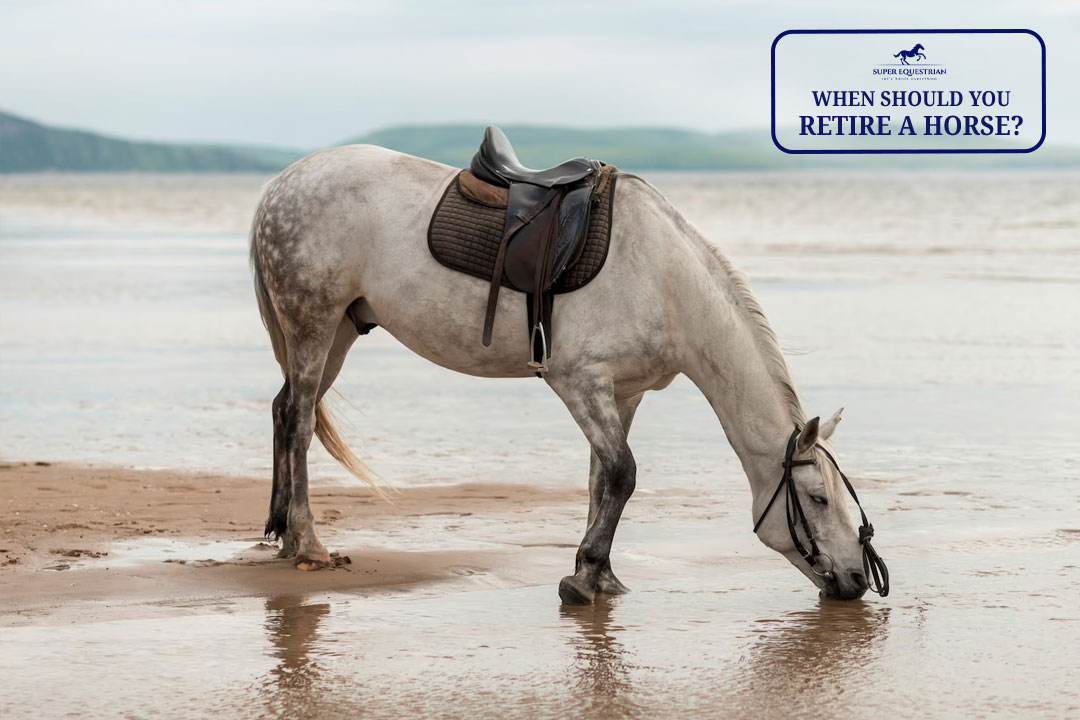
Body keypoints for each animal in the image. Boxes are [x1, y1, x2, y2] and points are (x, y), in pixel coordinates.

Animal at [249, 144, 888, 603]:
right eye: (817, 498)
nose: (859, 581)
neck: (665, 280)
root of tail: (282, 184)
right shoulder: (580, 383)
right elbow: (624, 473)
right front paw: (583, 578)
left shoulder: (624, 394)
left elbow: (602, 479)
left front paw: (599, 574)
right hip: (313, 323)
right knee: (300, 420)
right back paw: (307, 544)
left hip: (340, 331)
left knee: (284, 410)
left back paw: (281, 535)